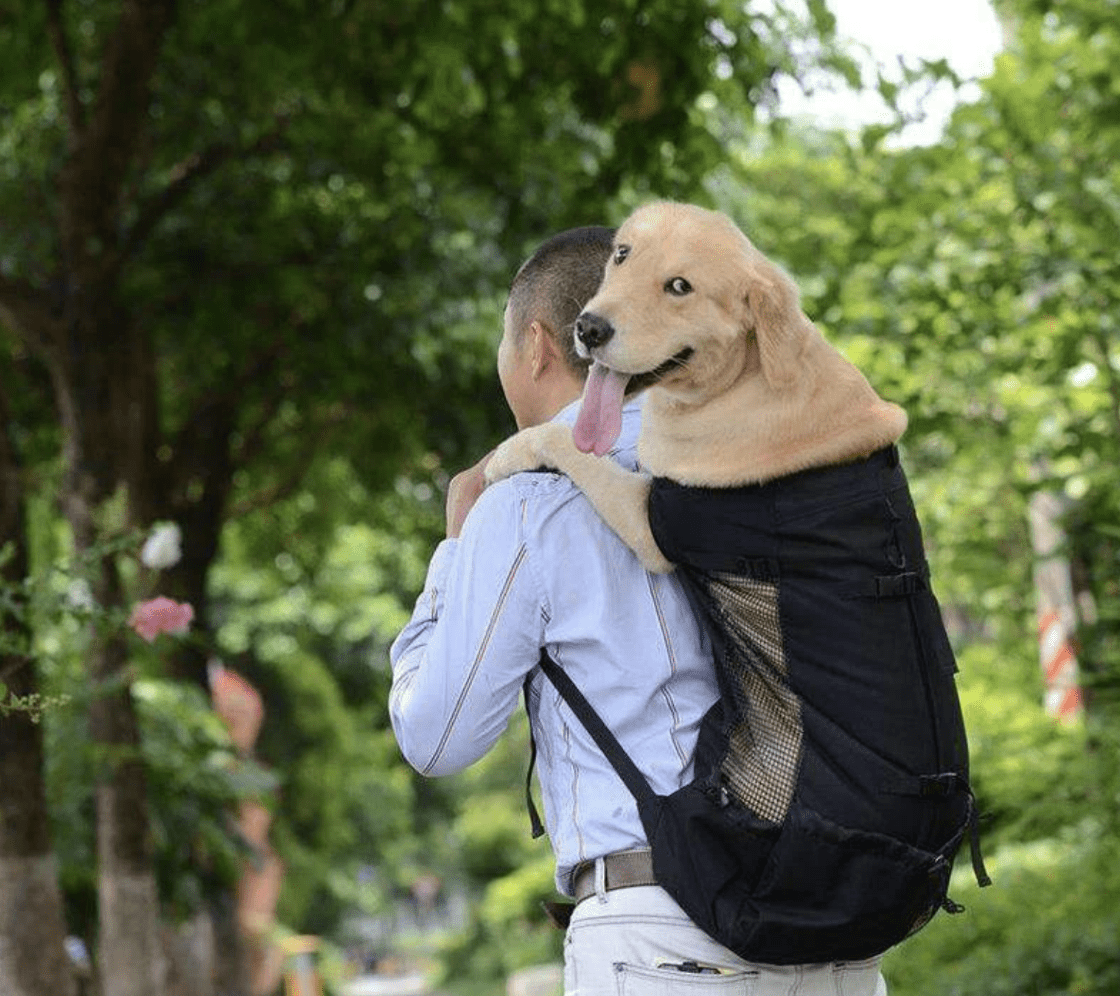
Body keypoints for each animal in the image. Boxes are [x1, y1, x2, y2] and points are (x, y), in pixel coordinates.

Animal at [486, 199, 904, 571]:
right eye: (622, 254)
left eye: (679, 286)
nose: (588, 329)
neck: (738, 378)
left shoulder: (648, 518)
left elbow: (570, 445)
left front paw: (505, 455)